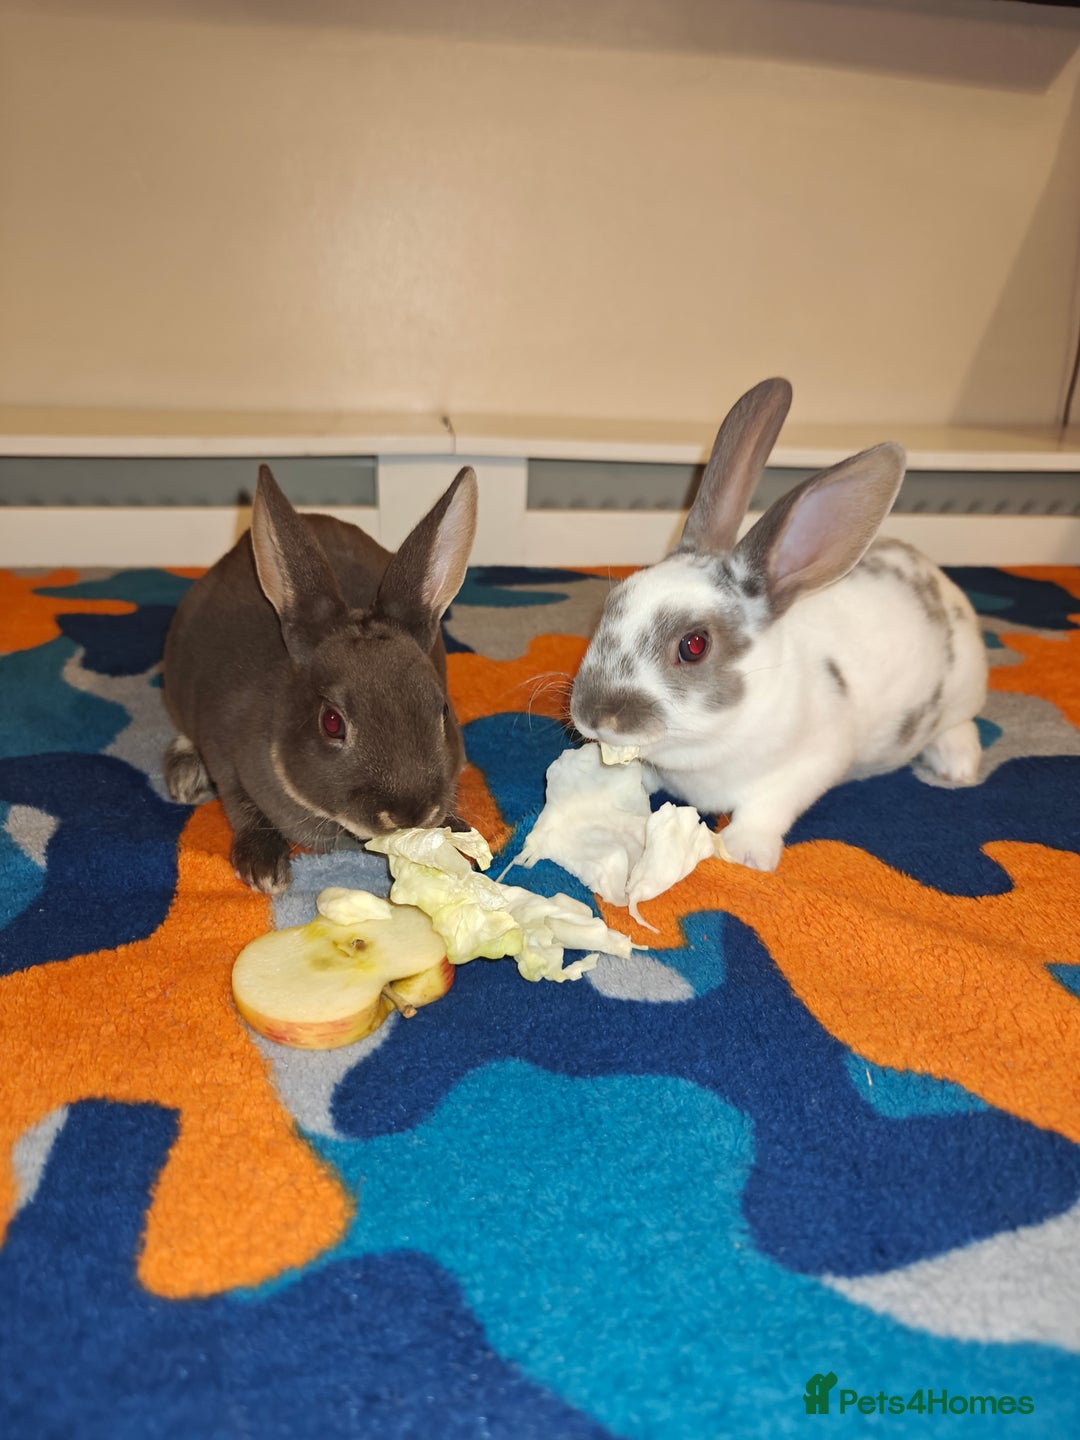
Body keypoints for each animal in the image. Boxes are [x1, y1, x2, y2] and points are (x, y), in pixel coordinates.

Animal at [163, 462, 478, 893]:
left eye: (443, 710)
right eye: (331, 723)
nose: (409, 814)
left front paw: (456, 838)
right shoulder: (223, 754)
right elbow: (240, 803)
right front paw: (264, 870)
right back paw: (183, 776)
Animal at [569, 377, 988, 873]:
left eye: (694, 645)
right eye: (611, 603)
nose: (592, 715)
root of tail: (938, 577)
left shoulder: (810, 764)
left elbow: (767, 807)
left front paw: (746, 852)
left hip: (960, 689)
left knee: (962, 725)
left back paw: (955, 766)